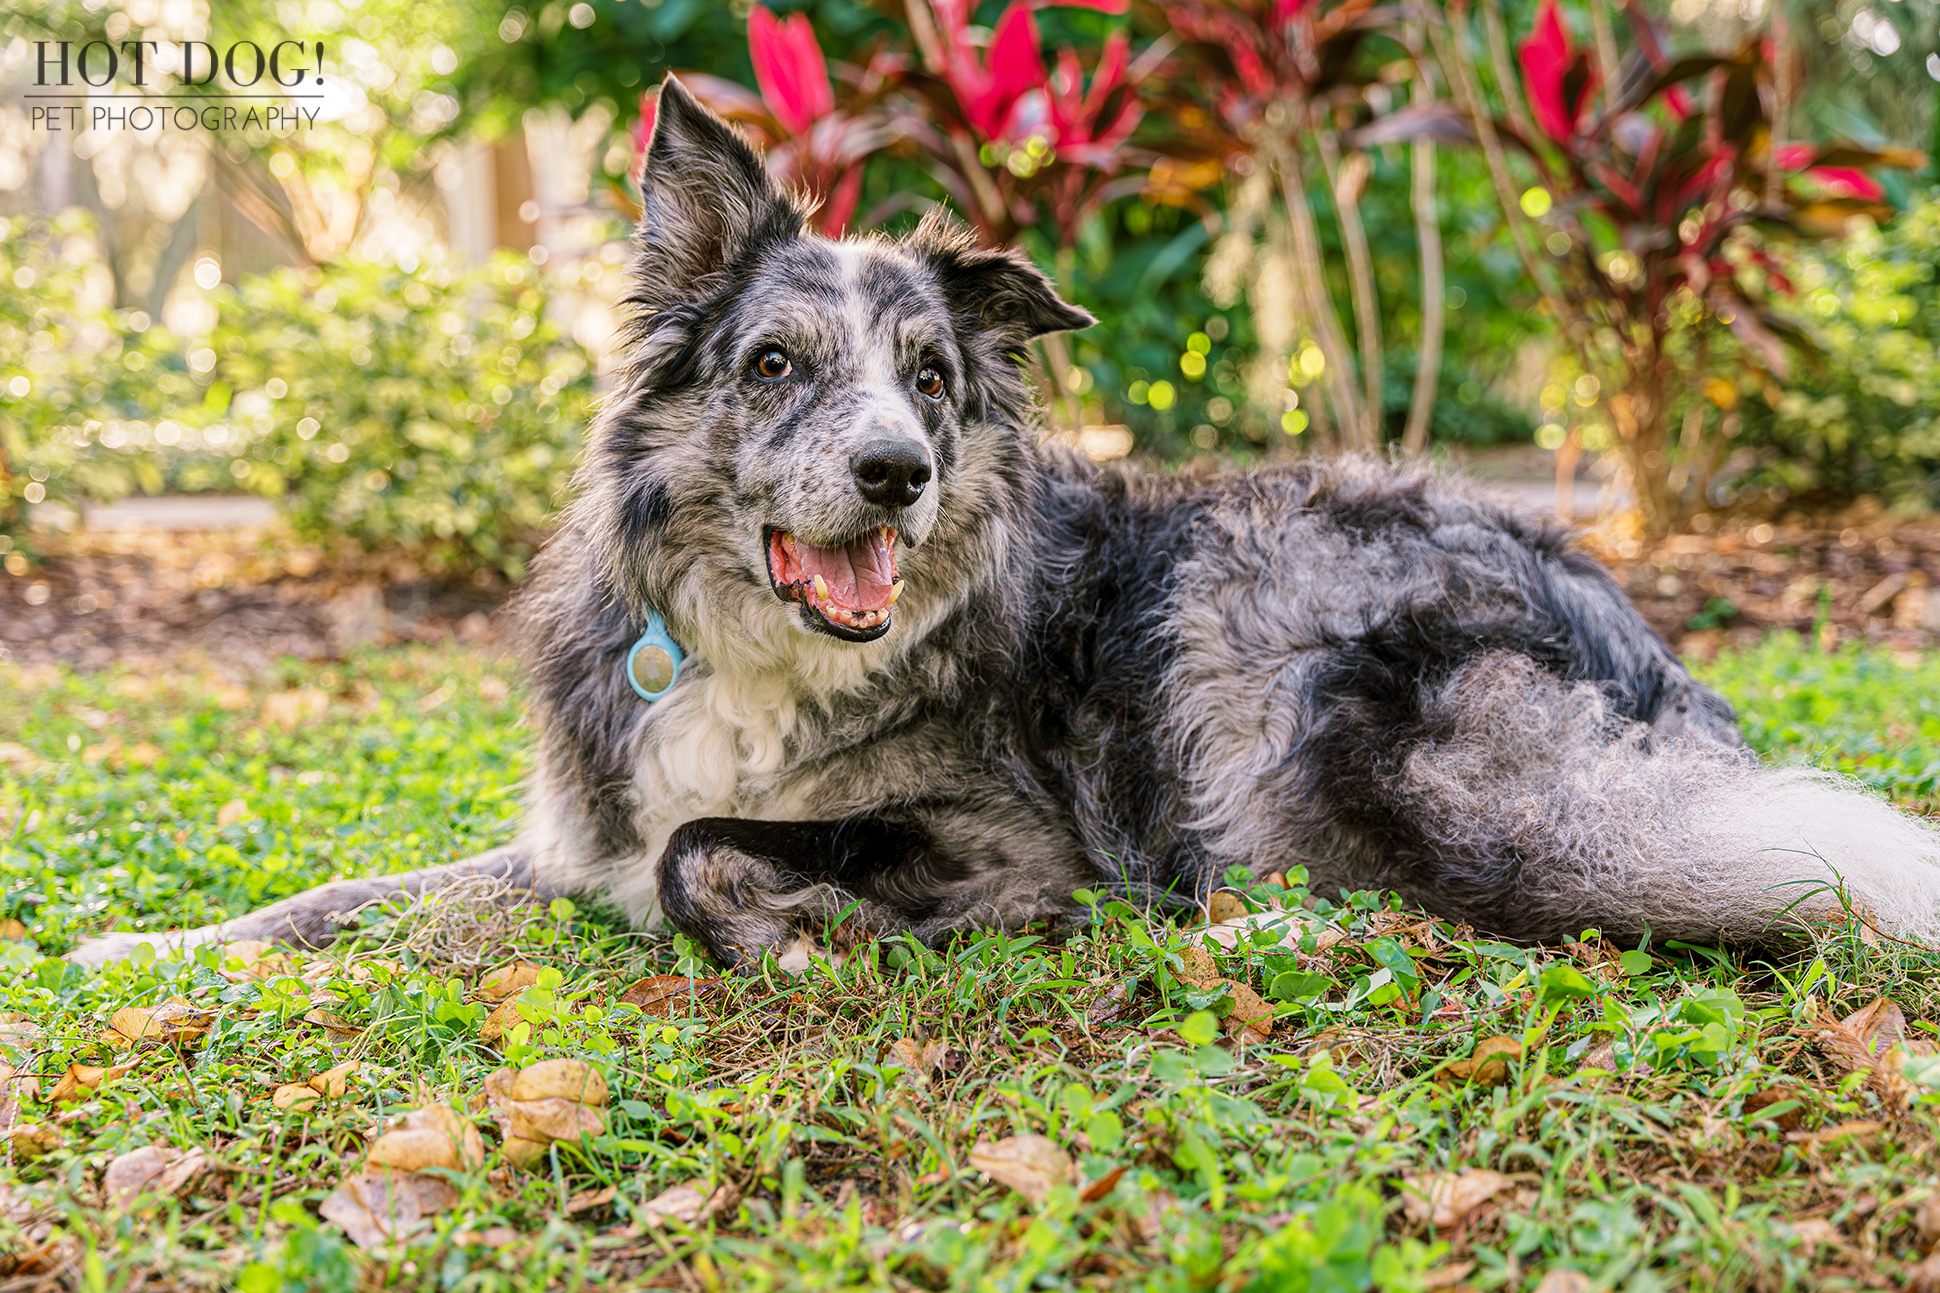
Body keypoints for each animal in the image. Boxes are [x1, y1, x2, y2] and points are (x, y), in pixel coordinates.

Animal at [68, 78, 1940, 966]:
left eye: (930, 378)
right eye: (774, 363)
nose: (896, 469)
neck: (759, 654)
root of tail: (1651, 660)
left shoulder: (1015, 838)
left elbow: (704, 852)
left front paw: (802, 931)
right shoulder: (570, 841)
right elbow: (342, 895)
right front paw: (150, 945)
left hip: (1268, 651)